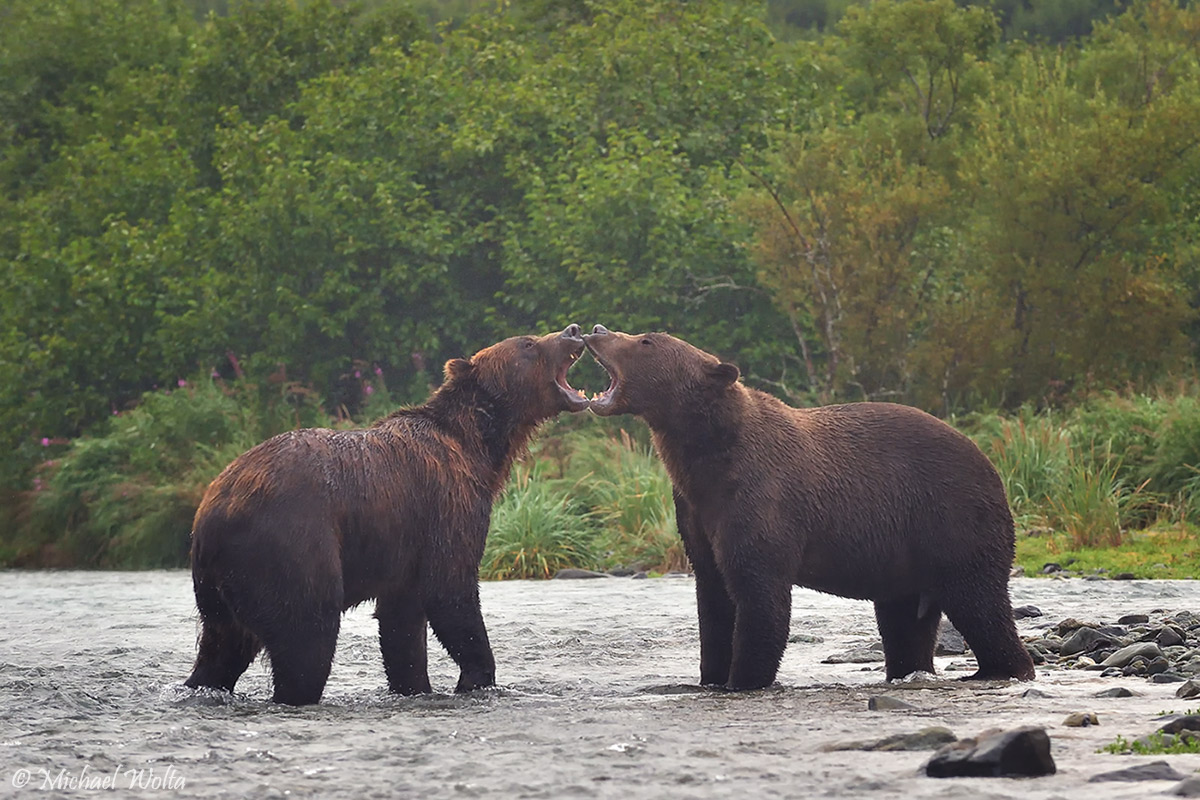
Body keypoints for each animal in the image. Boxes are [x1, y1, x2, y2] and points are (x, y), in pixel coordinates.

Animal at [183, 323, 590, 700]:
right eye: (529, 343)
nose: (573, 331)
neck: (479, 448)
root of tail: (209, 514)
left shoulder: (404, 554)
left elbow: (402, 628)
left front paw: (415, 685)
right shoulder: (446, 505)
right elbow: (450, 591)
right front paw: (476, 677)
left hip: (220, 591)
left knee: (222, 650)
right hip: (289, 546)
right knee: (306, 639)